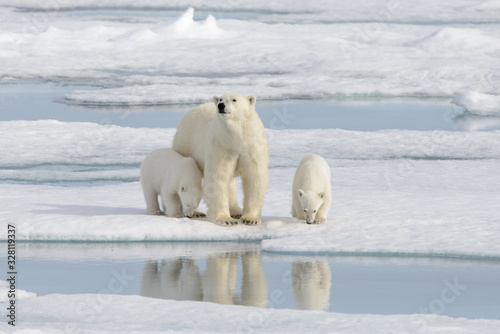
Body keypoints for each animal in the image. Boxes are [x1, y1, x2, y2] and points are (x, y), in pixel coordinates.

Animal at [173, 92, 268, 226]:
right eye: (221, 99)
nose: (221, 105)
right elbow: (218, 177)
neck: (236, 138)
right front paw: (226, 219)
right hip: (186, 145)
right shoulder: (221, 145)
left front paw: (250, 219)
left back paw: (235, 211)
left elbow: (254, 177)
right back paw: (196, 212)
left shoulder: (252, 146)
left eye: (234, 99)